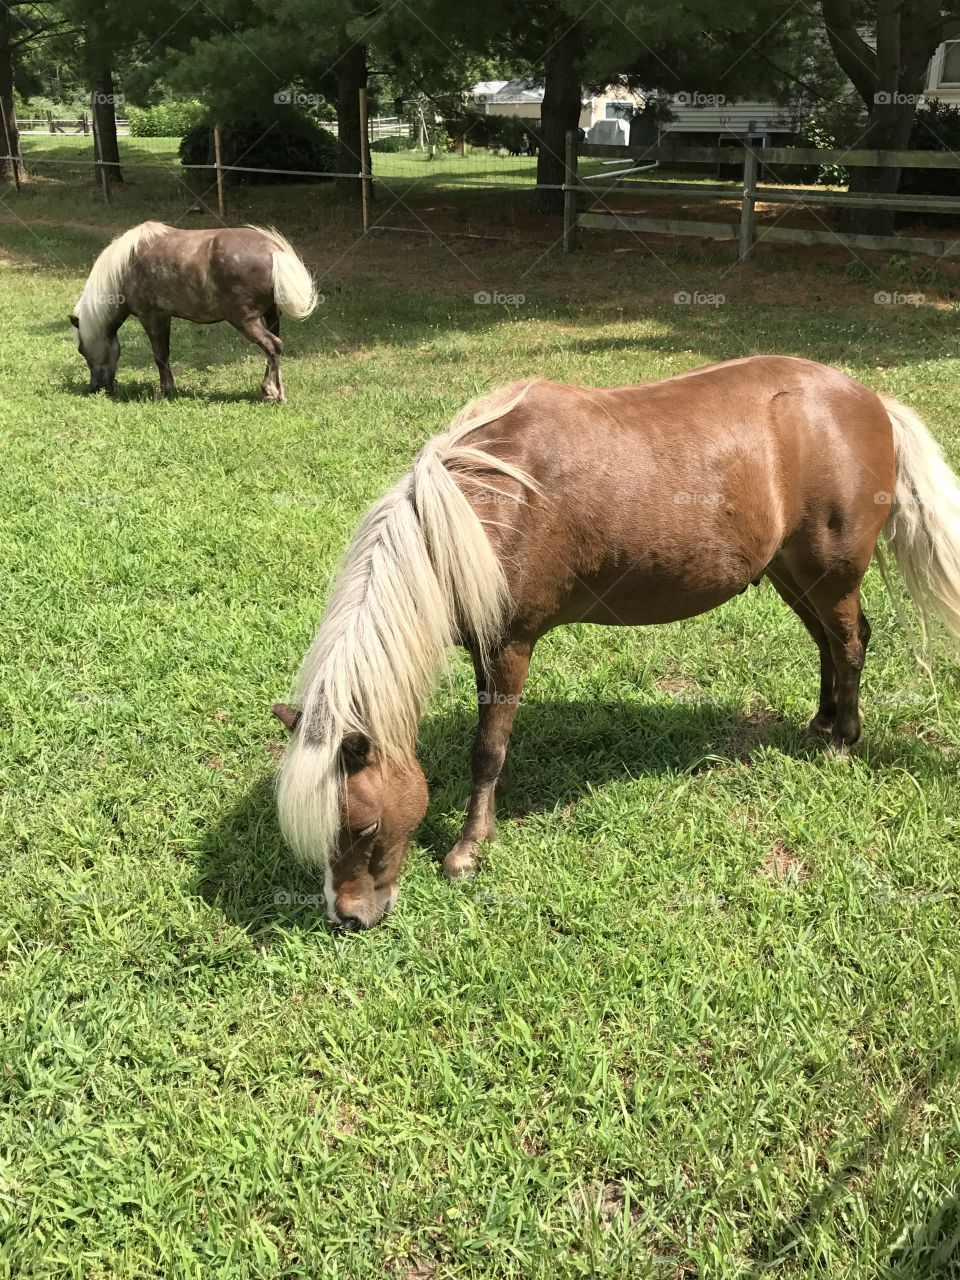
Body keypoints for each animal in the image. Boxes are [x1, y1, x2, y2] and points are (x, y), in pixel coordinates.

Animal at [69, 222, 317, 401]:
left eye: (82, 350)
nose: (95, 388)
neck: (123, 268)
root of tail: (274, 252)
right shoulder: (165, 317)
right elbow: (165, 354)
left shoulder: (151, 317)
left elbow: (159, 356)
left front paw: (164, 392)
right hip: (271, 315)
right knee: (276, 347)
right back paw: (275, 391)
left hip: (245, 320)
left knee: (272, 346)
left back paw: (270, 392)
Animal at [272, 356, 960, 930]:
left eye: (363, 824)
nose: (348, 918)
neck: (482, 509)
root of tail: (871, 400)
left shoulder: (510, 645)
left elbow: (486, 750)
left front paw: (468, 849)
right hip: (791, 572)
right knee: (827, 642)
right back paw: (822, 723)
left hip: (829, 572)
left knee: (849, 643)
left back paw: (844, 741)